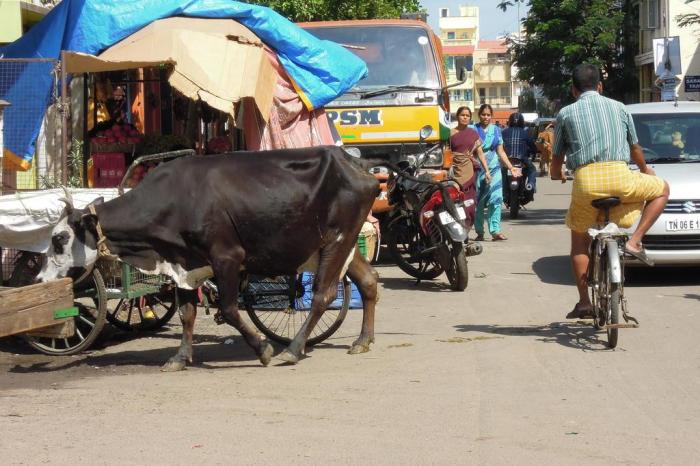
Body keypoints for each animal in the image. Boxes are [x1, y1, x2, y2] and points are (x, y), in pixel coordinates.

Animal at [36, 146, 380, 372]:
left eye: (59, 239)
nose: (38, 279)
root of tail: (353, 161)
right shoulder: (185, 263)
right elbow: (186, 313)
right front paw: (179, 357)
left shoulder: (227, 257)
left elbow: (228, 309)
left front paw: (264, 349)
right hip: (338, 246)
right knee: (368, 281)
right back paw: (363, 341)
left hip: (337, 240)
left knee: (323, 294)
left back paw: (293, 350)